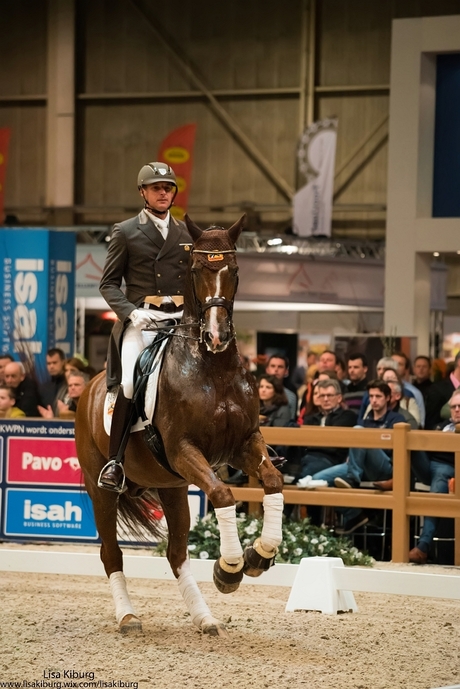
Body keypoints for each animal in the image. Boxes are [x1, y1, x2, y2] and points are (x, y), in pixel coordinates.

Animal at [74, 214, 284, 636]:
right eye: (197, 268)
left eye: (234, 270)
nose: (217, 336)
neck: (213, 368)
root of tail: (89, 387)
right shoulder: (183, 449)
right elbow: (222, 494)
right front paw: (230, 569)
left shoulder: (243, 443)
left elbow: (272, 480)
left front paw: (259, 554)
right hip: (100, 488)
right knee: (111, 553)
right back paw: (128, 617)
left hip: (171, 487)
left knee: (176, 553)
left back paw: (205, 618)